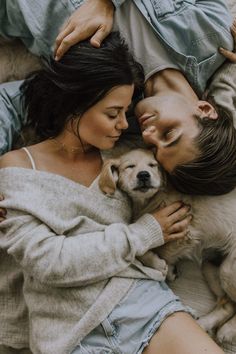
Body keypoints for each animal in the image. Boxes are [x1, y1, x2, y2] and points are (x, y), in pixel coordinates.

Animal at [98, 148, 236, 344]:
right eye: (130, 166)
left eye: (153, 165)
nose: (143, 175)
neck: (150, 201)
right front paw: (167, 268)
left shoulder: (185, 232)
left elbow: (153, 250)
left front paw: (163, 266)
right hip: (210, 265)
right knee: (228, 303)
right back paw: (206, 324)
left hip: (229, 270)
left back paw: (228, 329)